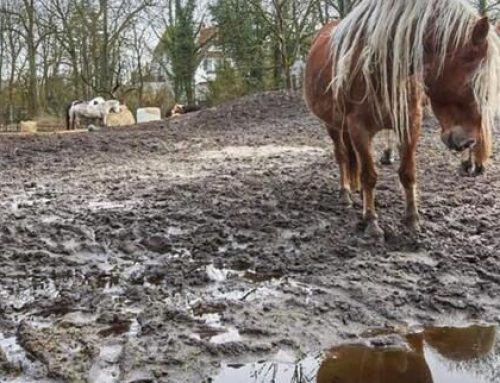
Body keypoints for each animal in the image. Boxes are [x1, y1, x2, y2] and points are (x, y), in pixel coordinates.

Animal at [304, 0, 500, 237]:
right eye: (473, 84)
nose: (468, 141)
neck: (381, 67)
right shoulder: (359, 128)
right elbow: (369, 175)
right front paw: (371, 221)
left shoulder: (410, 123)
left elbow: (407, 173)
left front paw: (412, 219)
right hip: (333, 125)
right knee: (342, 156)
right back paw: (346, 192)